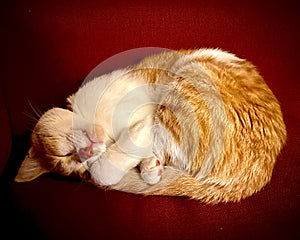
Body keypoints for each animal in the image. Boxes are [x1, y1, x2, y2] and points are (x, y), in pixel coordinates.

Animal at [15, 49, 288, 203]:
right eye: (74, 162)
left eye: (65, 154)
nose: (88, 152)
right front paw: (148, 166)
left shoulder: (144, 114)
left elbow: (108, 167)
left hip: (180, 93)